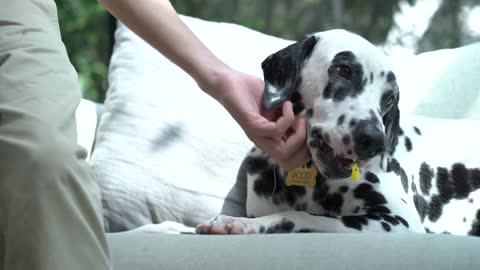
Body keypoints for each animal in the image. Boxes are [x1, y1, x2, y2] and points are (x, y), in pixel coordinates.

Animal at [196, 29, 480, 236]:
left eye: (389, 98)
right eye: (344, 70)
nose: (374, 141)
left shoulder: (400, 221)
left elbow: (300, 215)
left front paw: (243, 224)